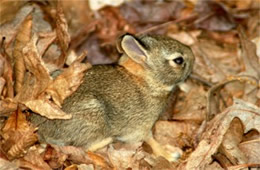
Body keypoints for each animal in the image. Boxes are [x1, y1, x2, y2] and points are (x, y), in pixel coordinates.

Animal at [29, 33, 194, 162]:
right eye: (178, 60)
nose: (192, 54)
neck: (148, 81)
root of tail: (40, 131)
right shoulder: (143, 126)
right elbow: (152, 141)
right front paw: (171, 156)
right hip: (94, 117)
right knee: (85, 147)